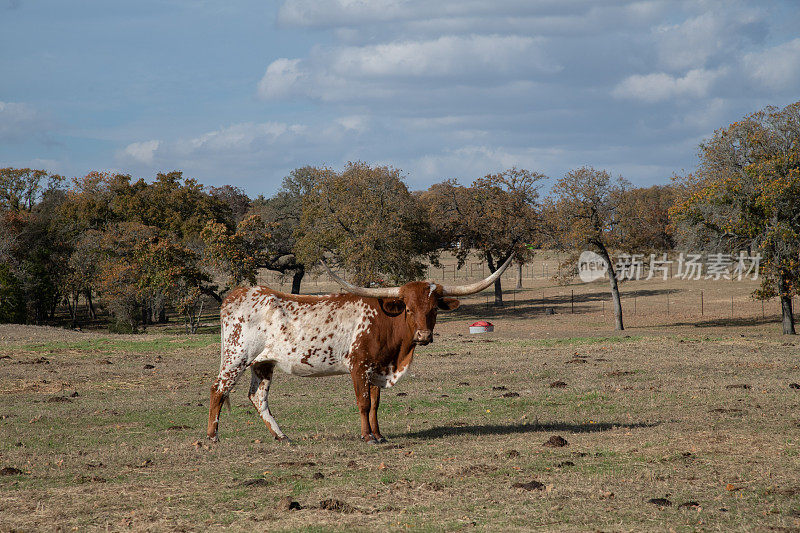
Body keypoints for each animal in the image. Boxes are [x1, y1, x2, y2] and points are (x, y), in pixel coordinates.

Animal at [206, 254, 516, 440]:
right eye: (408, 308)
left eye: (433, 309)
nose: (423, 335)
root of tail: (238, 294)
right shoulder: (359, 366)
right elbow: (363, 402)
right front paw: (368, 437)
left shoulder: (378, 368)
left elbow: (376, 404)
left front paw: (379, 435)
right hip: (235, 356)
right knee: (218, 390)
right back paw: (212, 437)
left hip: (263, 363)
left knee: (258, 397)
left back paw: (282, 437)